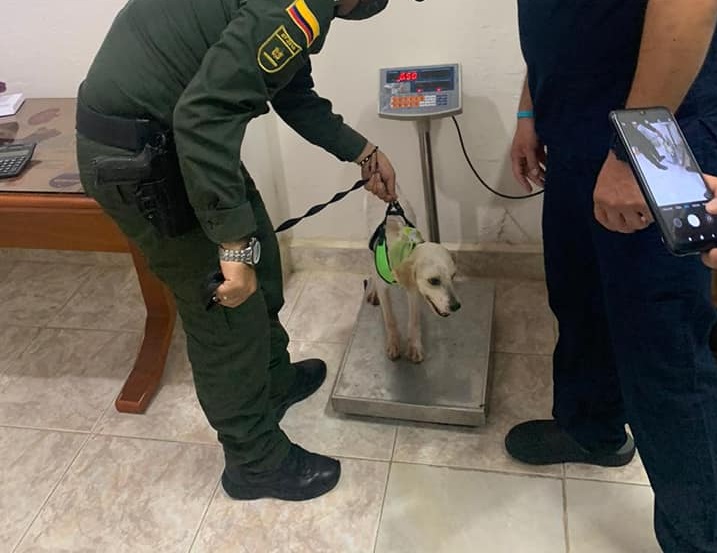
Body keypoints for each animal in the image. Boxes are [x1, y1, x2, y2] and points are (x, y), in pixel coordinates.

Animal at [364, 192, 458, 364]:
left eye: (453, 276)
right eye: (434, 280)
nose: (456, 306)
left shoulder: (413, 291)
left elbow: (414, 322)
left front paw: (414, 347)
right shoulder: (384, 290)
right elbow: (390, 319)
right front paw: (394, 344)